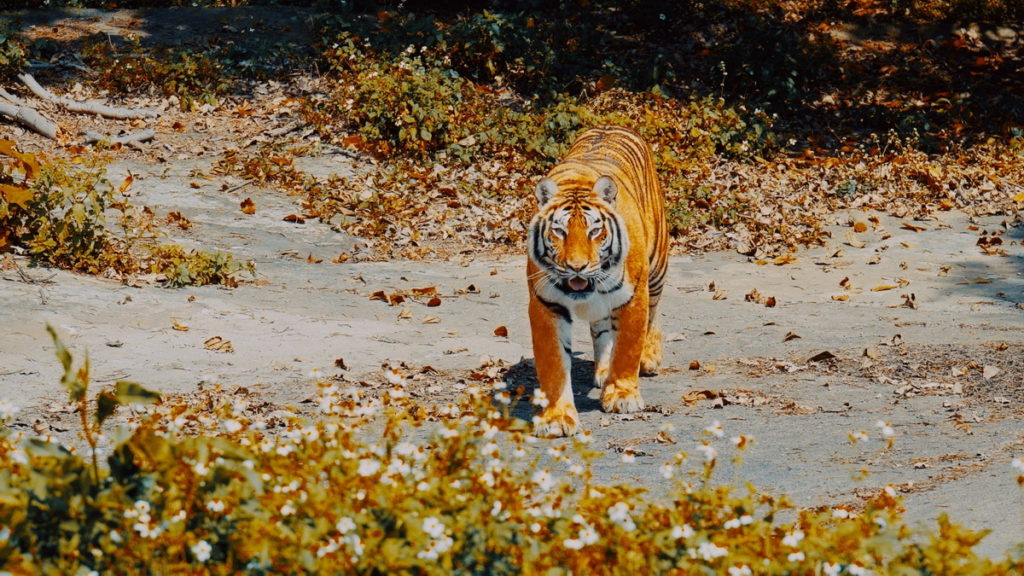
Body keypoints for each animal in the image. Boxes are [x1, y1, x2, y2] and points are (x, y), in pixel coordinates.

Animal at [526, 125, 668, 437]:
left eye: (594, 231)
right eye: (559, 231)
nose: (576, 267)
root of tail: (612, 125)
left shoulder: (634, 296)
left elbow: (628, 347)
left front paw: (623, 397)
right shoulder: (546, 305)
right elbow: (554, 363)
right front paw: (557, 417)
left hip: (656, 269)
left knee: (654, 314)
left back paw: (648, 358)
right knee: (601, 330)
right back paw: (603, 371)